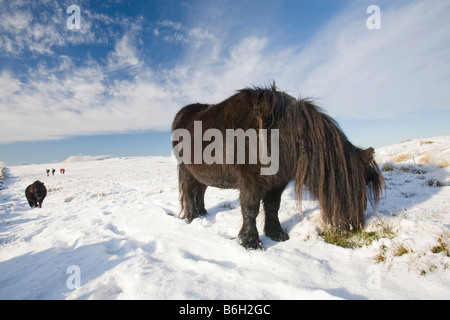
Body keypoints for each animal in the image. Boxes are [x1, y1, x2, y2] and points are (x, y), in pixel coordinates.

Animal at [171, 84, 384, 249]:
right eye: (360, 185)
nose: (356, 227)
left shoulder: (278, 181)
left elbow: (273, 207)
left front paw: (276, 234)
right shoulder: (251, 181)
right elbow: (251, 208)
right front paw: (250, 242)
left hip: (201, 173)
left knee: (200, 191)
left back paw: (202, 214)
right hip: (186, 170)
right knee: (189, 192)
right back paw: (192, 217)